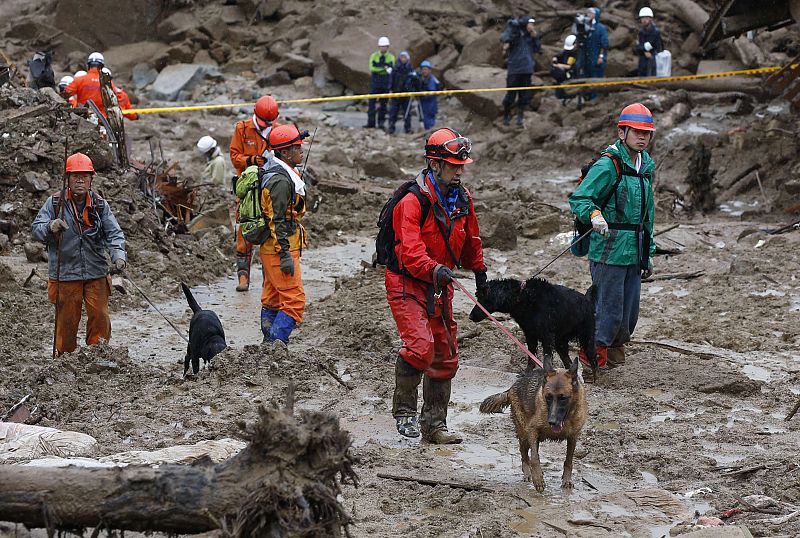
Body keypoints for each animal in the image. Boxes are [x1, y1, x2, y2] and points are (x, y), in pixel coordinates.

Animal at [466, 276, 596, 372]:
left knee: (593, 360)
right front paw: (527, 371)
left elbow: (546, 356)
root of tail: (587, 301)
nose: (470, 317)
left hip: (587, 338)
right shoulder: (530, 334)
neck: (523, 297)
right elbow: (531, 355)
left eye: (483, 299)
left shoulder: (547, 336)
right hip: (560, 341)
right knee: (567, 361)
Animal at [482, 356, 588, 490]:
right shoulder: (532, 430)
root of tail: (511, 388)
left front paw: (566, 480)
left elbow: (569, 461)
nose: (551, 421)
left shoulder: (573, 437)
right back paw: (528, 473)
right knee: (524, 454)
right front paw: (537, 479)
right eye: (548, 397)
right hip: (524, 434)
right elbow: (534, 458)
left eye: (563, 398)